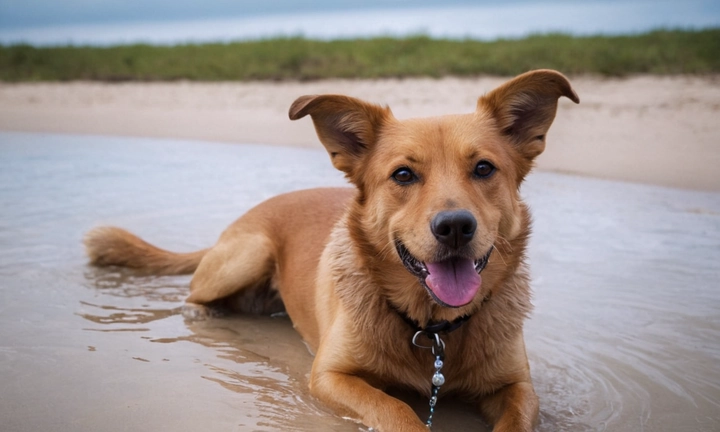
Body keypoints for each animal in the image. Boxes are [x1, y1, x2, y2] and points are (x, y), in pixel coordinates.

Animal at [84, 69, 580, 430]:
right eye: (403, 175)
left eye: (483, 168)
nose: (455, 227)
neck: (433, 329)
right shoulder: (330, 376)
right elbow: (395, 408)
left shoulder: (518, 388)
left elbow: (517, 417)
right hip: (249, 253)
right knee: (193, 294)